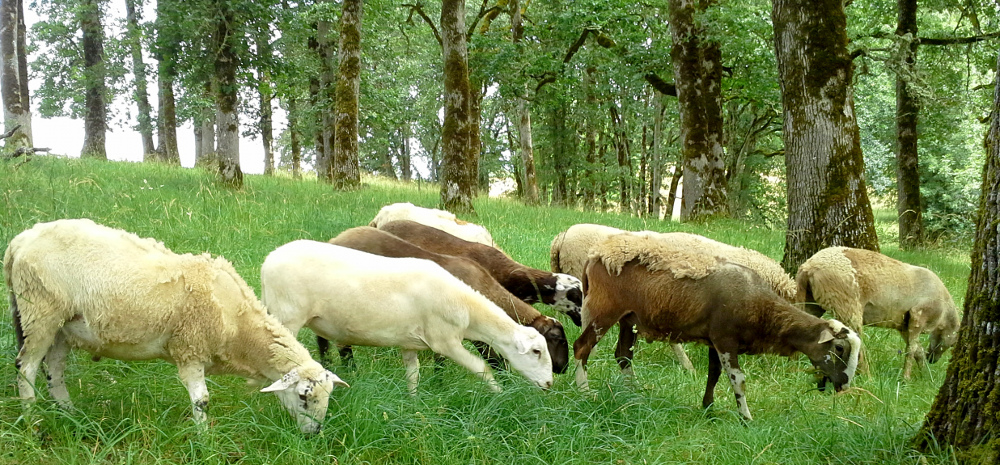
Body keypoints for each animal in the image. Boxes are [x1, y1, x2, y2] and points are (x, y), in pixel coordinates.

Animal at [3, 219, 347, 434]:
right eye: (303, 397)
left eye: (328, 397)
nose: (314, 434)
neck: (239, 328)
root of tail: (20, 240)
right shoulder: (190, 348)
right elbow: (202, 401)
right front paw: (205, 440)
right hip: (40, 310)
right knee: (26, 367)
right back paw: (31, 420)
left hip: (64, 325)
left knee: (55, 370)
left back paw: (69, 414)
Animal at [260, 240, 554, 394]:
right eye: (537, 351)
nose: (550, 383)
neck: (468, 311)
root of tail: (268, 260)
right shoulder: (445, 342)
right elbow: (481, 367)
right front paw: (499, 395)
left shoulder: (409, 342)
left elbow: (413, 374)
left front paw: (413, 402)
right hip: (288, 316)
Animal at [574, 232, 861, 421]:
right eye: (839, 348)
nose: (845, 386)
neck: (761, 307)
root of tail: (595, 254)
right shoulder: (725, 339)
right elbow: (738, 380)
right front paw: (746, 418)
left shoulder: (714, 339)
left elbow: (713, 374)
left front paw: (708, 408)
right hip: (603, 310)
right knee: (582, 347)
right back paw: (585, 392)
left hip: (629, 317)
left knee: (623, 355)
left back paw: (633, 394)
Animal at [795, 246, 961, 379]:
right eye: (953, 344)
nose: (932, 359)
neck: (944, 314)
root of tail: (808, 267)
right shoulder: (918, 316)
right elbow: (911, 350)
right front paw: (906, 378)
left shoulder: (903, 325)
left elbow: (917, 350)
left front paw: (925, 376)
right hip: (848, 305)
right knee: (855, 343)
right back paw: (867, 377)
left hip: (811, 303)